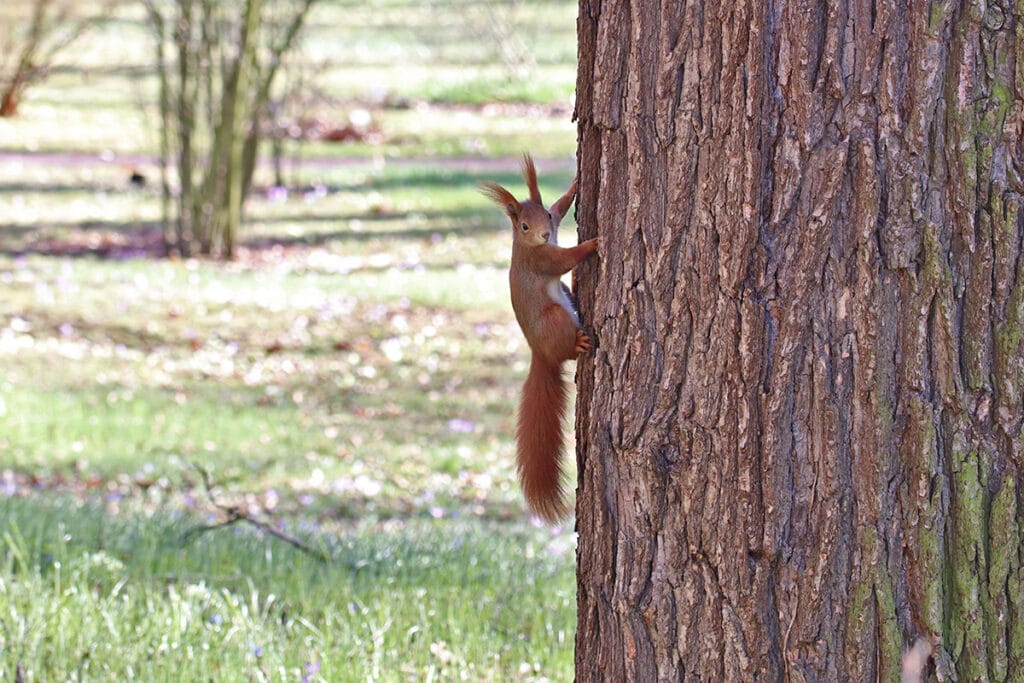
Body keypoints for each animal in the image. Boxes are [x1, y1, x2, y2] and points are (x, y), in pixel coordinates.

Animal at [481, 153, 598, 518]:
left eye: (544, 216)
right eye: (523, 226)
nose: (545, 235)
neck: (527, 246)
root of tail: (540, 354)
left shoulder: (557, 222)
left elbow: (563, 204)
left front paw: (574, 186)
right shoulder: (541, 259)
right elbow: (564, 259)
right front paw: (592, 244)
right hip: (555, 319)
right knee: (569, 350)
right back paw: (579, 343)